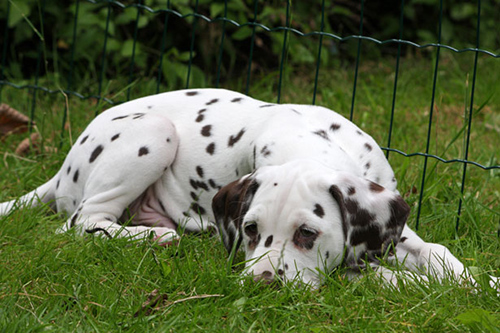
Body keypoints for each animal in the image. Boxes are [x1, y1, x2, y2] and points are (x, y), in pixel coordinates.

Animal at [0, 89, 498, 288]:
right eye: (252, 230)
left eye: (307, 233)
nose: (261, 283)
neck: (316, 139)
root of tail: (62, 169)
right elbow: (388, 276)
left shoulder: (397, 230)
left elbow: (440, 255)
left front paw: (480, 283)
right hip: (155, 133)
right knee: (81, 222)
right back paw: (151, 236)